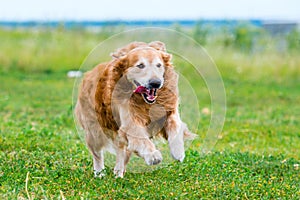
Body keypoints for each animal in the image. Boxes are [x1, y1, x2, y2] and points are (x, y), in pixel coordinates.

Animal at [75, 41, 195, 177]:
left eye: (159, 65)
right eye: (140, 65)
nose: (155, 83)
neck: (144, 102)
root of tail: (88, 74)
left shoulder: (168, 109)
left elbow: (176, 126)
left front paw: (178, 151)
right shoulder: (129, 121)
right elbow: (140, 137)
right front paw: (153, 155)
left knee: (121, 151)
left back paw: (118, 172)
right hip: (95, 129)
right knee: (97, 154)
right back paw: (100, 173)